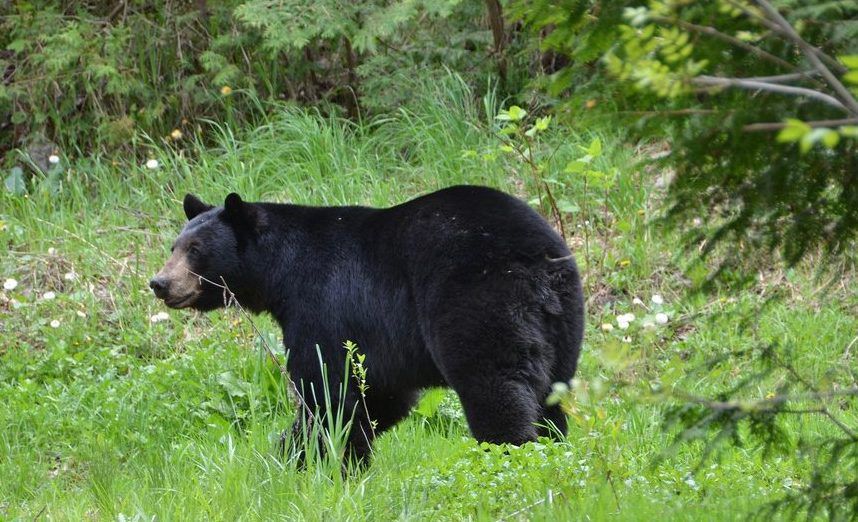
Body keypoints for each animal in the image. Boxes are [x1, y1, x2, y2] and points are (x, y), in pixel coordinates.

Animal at [150, 186, 584, 460]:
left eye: (195, 250)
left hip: (477, 299)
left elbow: (328, 393)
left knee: (494, 386)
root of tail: (536, 257)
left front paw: (310, 463)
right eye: (173, 246)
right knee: (551, 396)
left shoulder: (324, 306)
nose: (159, 283)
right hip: (562, 323)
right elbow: (376, 397)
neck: (280, 275)